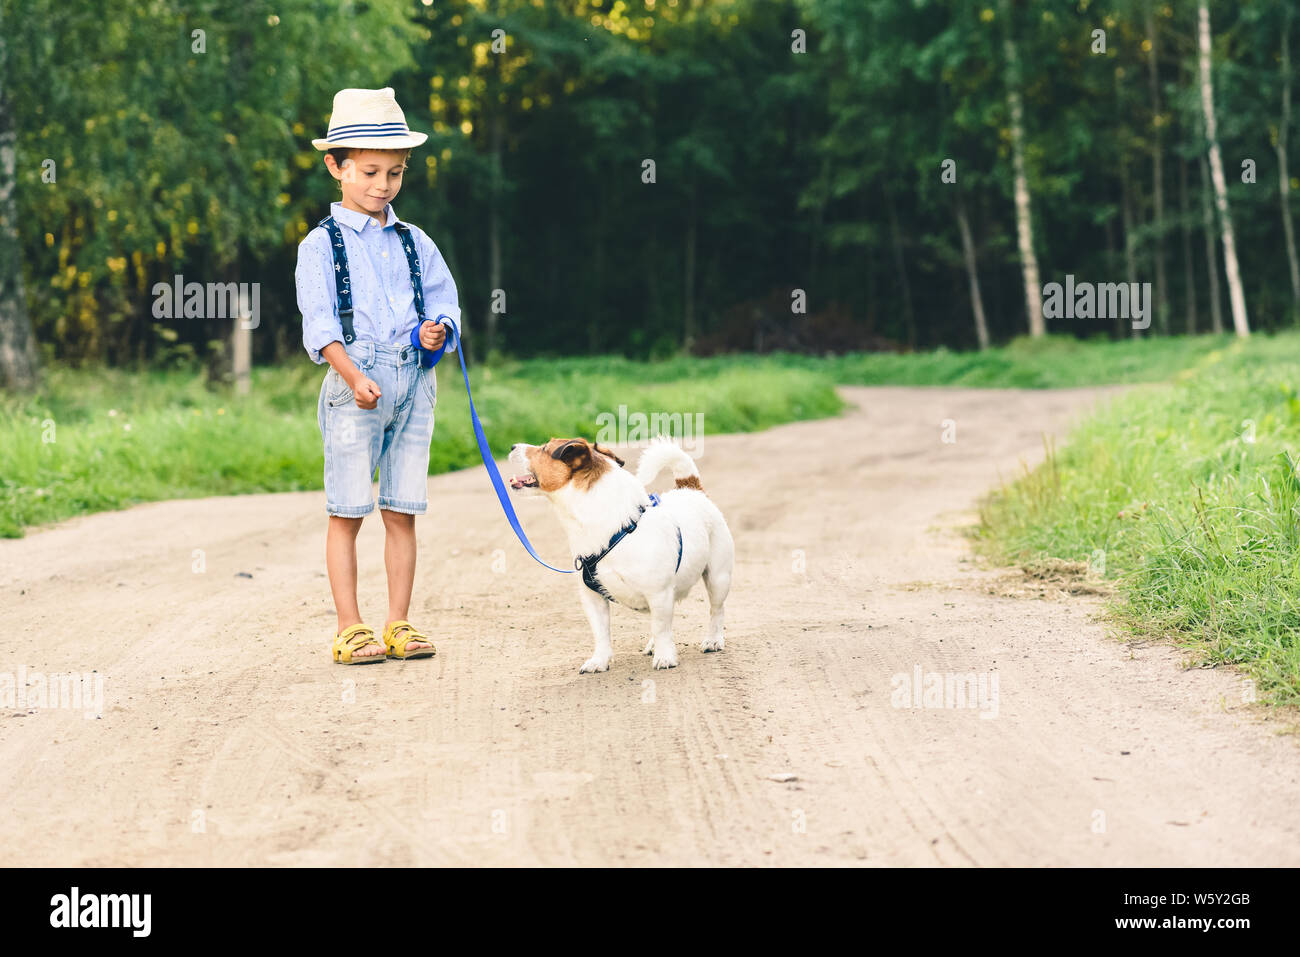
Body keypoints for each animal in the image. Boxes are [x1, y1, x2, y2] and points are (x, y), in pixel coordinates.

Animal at [504, 434, 733, 670]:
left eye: (544, 449)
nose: (512, 446)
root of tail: (691, 489)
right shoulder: (593, 598)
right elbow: (601, 633)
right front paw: (600, 660)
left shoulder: (658, 593)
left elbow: (662, 628)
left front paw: (665, 656)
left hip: (718, 578)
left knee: (716, 610)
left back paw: (713, 640)